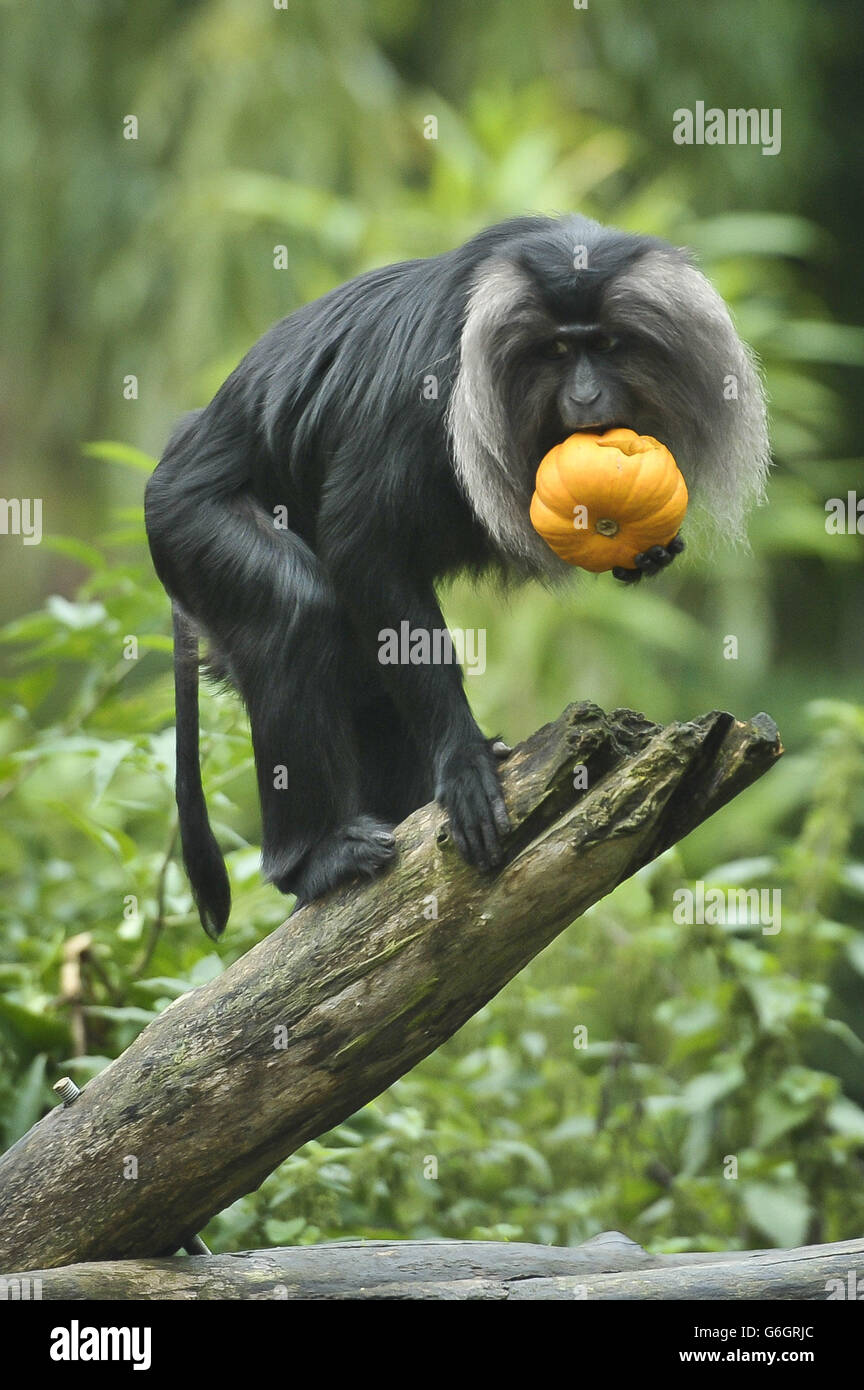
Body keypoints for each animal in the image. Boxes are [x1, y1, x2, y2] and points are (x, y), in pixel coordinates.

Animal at [145, 214, 777, 934]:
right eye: (558, 350)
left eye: (606, 345)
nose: (587, 394)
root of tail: (184, 440)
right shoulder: (423, 391)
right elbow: (361, 544)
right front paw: (465, 762)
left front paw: (648, 552)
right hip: (189, 522)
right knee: (296, 610)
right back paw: (312, 861)